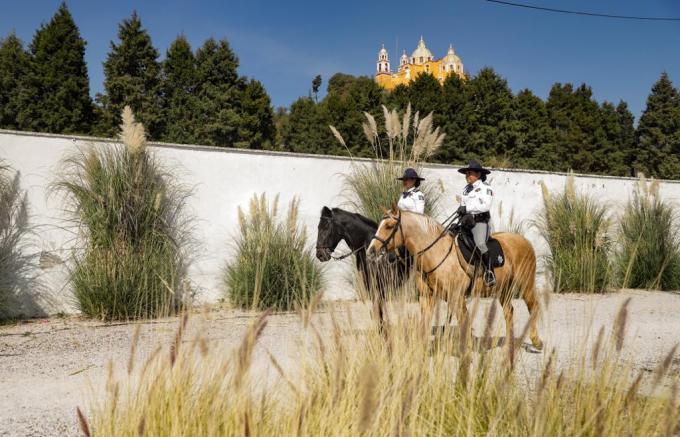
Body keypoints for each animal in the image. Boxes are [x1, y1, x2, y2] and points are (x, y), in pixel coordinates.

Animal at [366, 207, 540, 350]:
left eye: (389, 226)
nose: (370, 251)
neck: (436, 253)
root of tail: (525, 241)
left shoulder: (456, 297)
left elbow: (464, 321)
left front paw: (466, 350)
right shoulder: (427, 297)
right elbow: (425, 324)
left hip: (525, 284)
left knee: (533, 306)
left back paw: (536, 341)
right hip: (504, 289)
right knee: (509, 312)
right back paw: (509, 344)